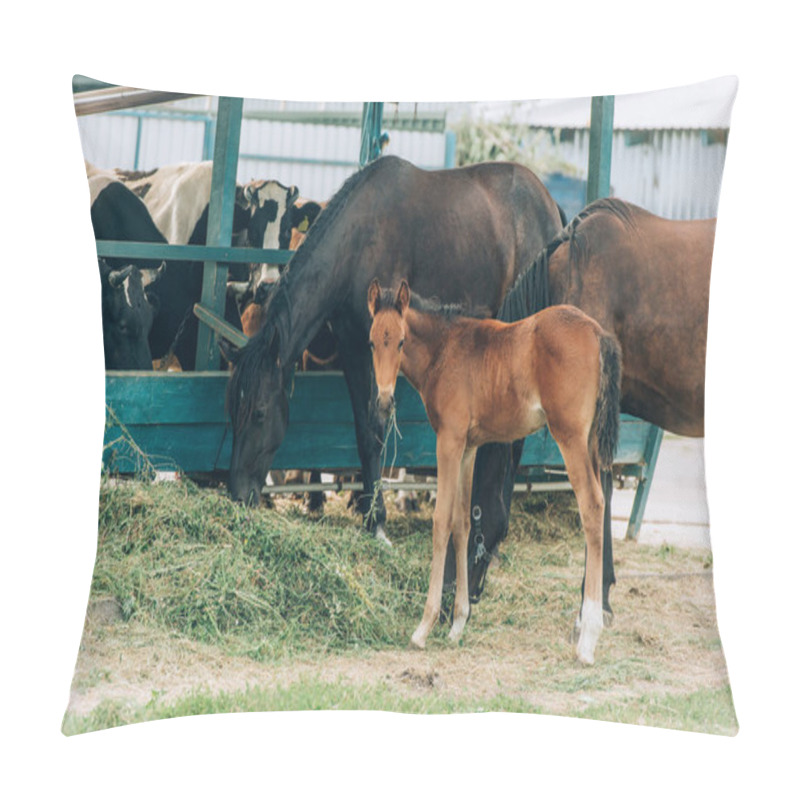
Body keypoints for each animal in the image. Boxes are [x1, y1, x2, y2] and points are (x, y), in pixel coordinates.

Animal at [220, 155, 564, 540]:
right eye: (232, 410)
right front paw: (368, 513)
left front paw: (378, 519)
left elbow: (377, 423)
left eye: (260, 412)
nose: (238, 494)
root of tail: (549, 203)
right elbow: (364, 428)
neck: (359, 241)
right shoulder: (354, 344)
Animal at [366, 278, 620, 664]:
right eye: (371, 342)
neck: (446, 350)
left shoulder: (449, 440)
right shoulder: (469, 447)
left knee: (591, 504)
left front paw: (424, 627)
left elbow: (441, 522)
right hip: (590, 442)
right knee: (601, 500)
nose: (383, 401)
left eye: (400, 341)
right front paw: (457, 625)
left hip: (570, 436)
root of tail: (597, 331)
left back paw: (588, 637)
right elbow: (462, 523)